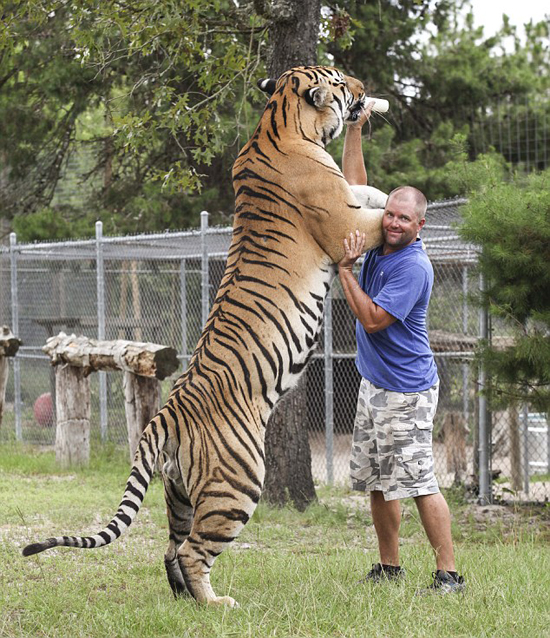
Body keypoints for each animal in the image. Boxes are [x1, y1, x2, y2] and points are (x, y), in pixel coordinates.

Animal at [21, 65, 388, 608]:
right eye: (342, 80)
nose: (365, 90)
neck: (280, 121)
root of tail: (163, 417)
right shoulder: (343, 222)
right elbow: (378, 216)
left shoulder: (347, 198)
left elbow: (370, 193)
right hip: (237, 485)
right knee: (194, 551)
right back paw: (216, 604)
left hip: (179, 494)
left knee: (171, 547)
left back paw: (185, 602)